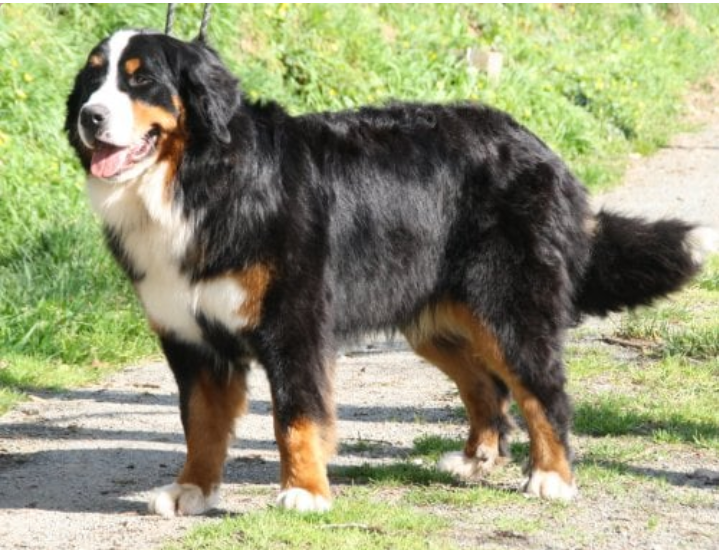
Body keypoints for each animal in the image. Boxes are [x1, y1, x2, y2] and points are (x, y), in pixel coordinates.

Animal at [65, 30, 716, 517]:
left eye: (141, 79)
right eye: (93, 80)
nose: (89, 118)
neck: (198, 181)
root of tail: (541, 147)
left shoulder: (292, 325)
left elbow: (295, 417)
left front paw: (304, 493)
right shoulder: (191, 336)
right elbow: (200, 423)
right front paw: (192, 489)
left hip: (509, 307)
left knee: (542, 390)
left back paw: (552, 478)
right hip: (434, 316)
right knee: (487, 387)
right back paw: (475, 459)